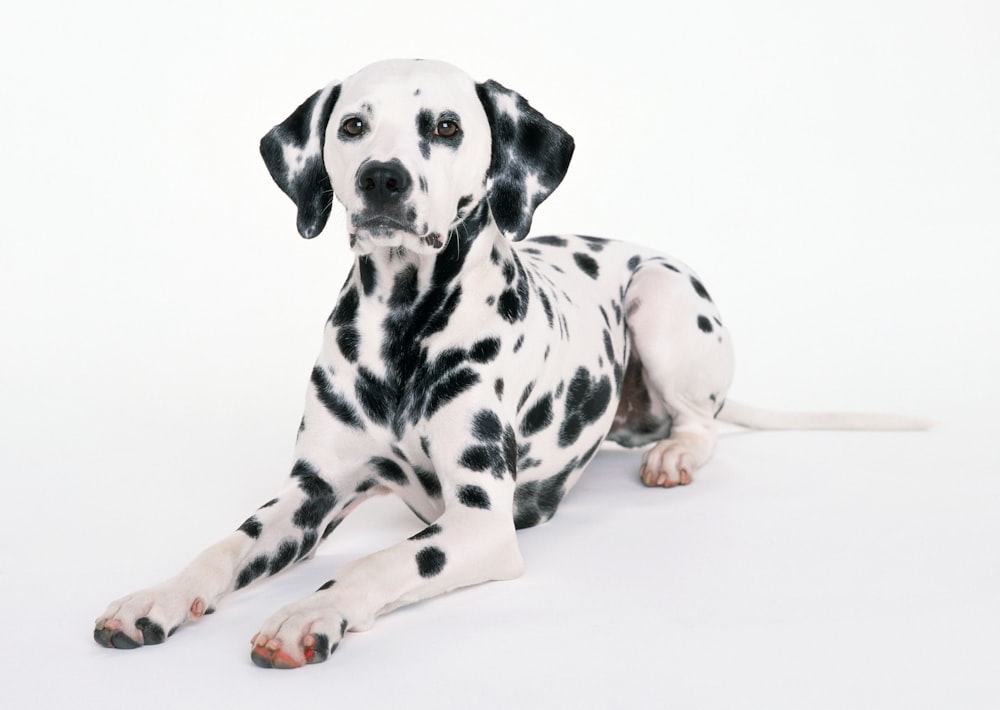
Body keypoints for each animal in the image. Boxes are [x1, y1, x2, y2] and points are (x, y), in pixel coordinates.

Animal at [94, 59, 920, 668]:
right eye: (353, 126)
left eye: (446, 127)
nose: (382, 178)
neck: (401, 332)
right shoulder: (309, 496)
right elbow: (223, 546)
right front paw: (155, 597)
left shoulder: (478, 523)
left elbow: (375, 564)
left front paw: (312, 610)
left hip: (659, 296)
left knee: (701, 423)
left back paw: (675, 455)